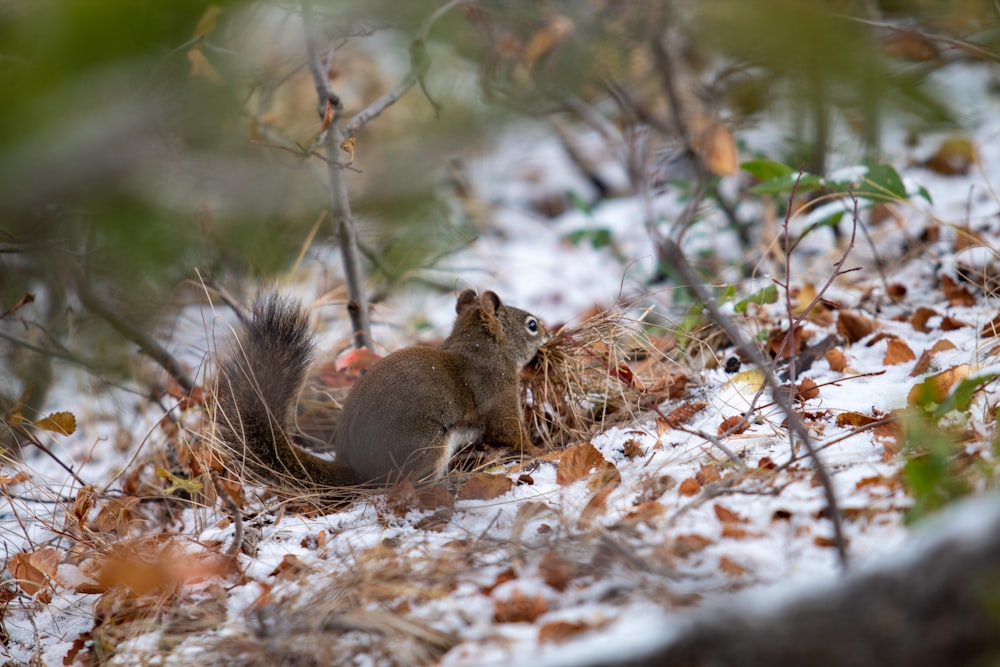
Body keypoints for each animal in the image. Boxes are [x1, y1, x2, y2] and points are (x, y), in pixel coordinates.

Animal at [214, 290, 552, 494]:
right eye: (531, 325)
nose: (549, 334)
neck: (479, 347)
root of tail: (358, 468)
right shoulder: (498, 393)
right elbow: (511, 431)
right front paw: (542, 451)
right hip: (426, 444)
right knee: (409, 485)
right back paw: (453, 480)